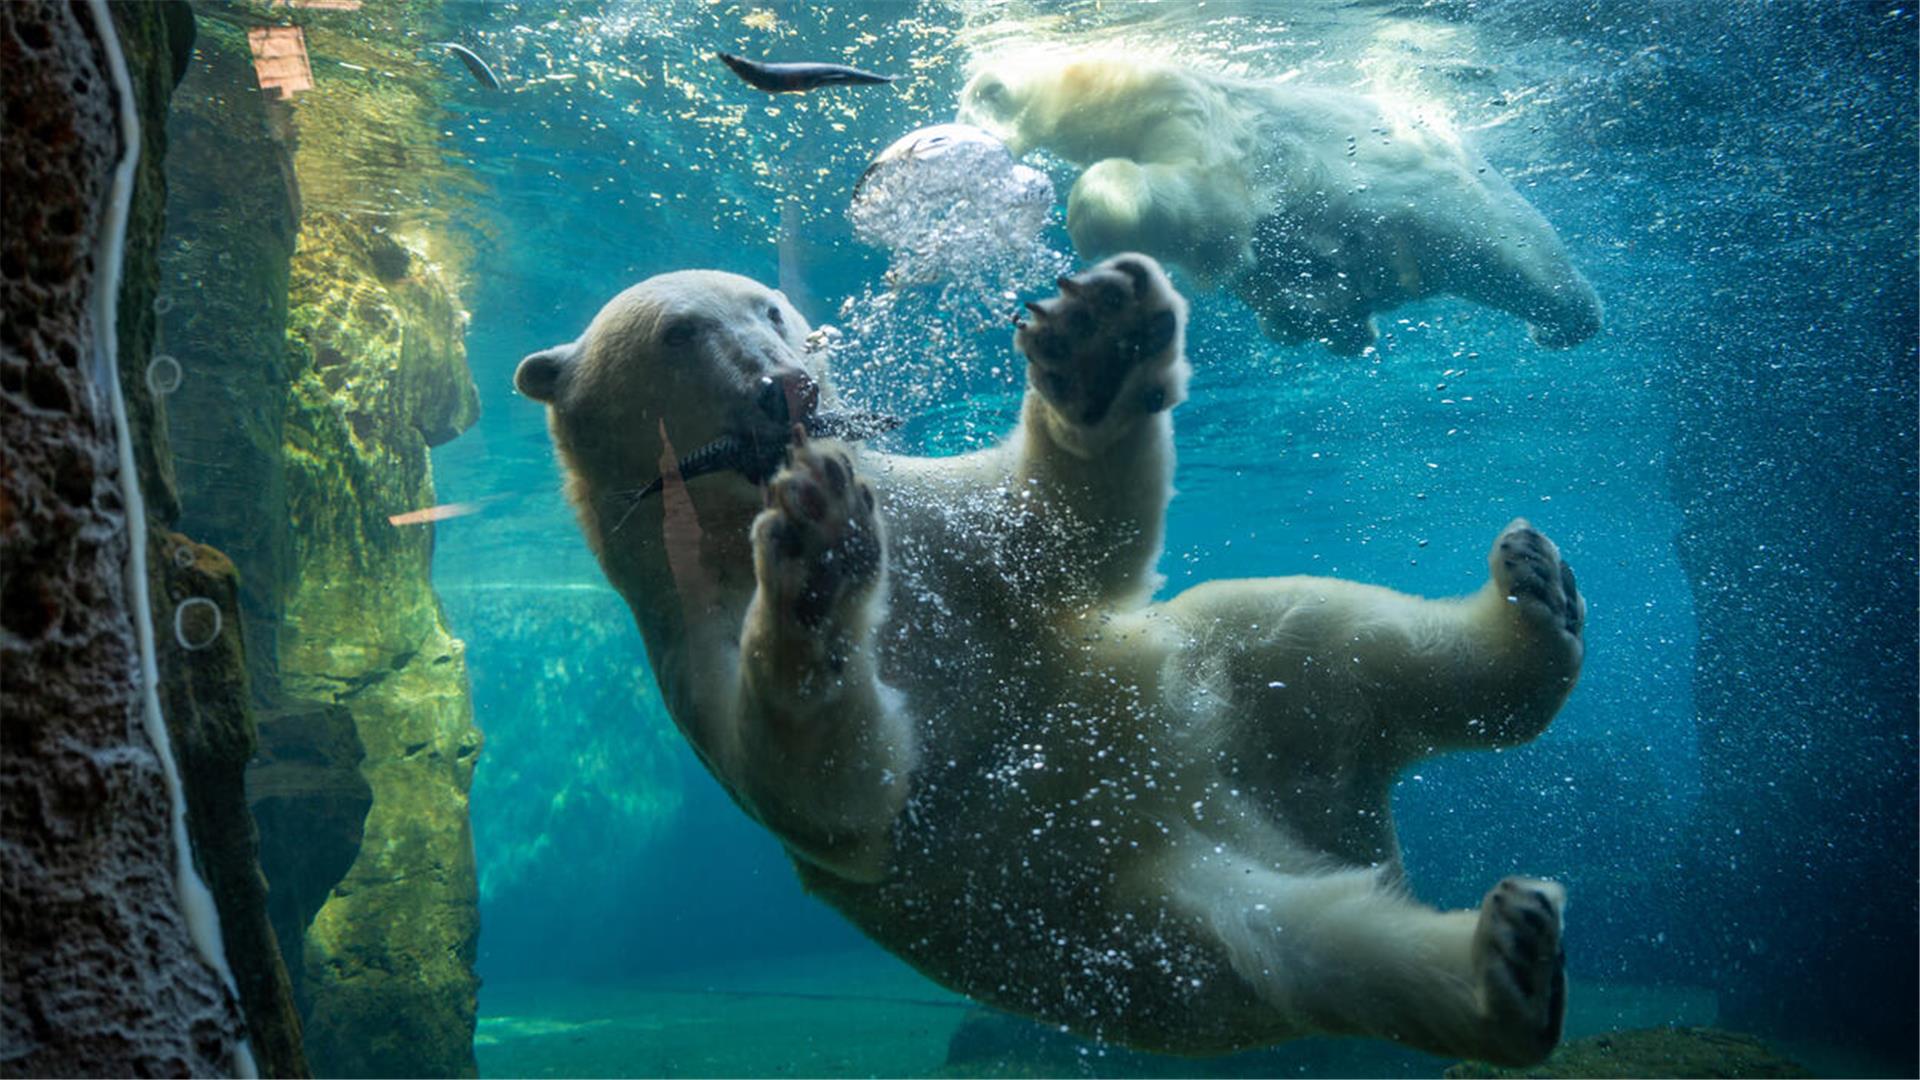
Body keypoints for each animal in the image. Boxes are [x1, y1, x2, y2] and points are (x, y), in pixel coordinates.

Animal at [518, 251, 1582, 1060]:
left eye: (772, 308)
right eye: (679, 332)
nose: (790, 383)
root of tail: (1331, 824)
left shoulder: (941, 524)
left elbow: (1059, 532)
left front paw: (1100, 340)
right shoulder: (693, 651)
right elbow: (838, 791)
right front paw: (816, 557)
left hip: (1229, 683)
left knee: (1338, 635)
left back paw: (1536, 601)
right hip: (1142, 926)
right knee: (1313, 950)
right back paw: (1506, 964)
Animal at [960, 48, 1605, 351]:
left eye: (973, 104)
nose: (966, 139)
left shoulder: (1194, 116)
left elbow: (1209, 205)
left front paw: (1089, 219)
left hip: (1468, 208)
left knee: (1532, 269)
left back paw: (1564, 323)